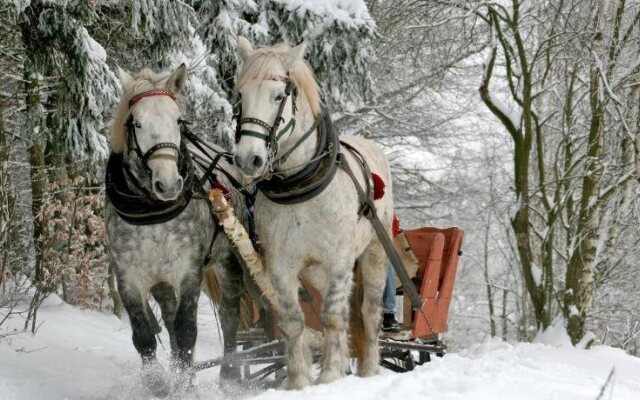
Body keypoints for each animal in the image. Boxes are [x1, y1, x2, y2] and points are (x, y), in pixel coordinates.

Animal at [231, 37, 390, 388]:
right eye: (240, 95)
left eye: (279, 96)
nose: (248, 159)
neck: (299, 185)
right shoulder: (281, 263)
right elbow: (293, 321)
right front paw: (299, 381)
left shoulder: (340, 258)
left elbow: (332, 316)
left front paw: (330, 375)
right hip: (315, 269)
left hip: (374, 253)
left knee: (368, 313)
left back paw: (368, 370)